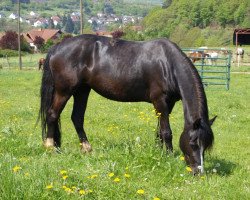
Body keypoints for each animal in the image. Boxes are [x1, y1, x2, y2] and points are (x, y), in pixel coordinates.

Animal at [39, 34, 217, 175]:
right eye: (193, 143)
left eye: (207, 146)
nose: (198, 172)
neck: (168, 64)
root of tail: (57, 47)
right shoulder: (160, 101)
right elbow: (167, 132)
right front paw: (168, 156)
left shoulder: (168, 104)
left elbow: (159, 130)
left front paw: (159, 152)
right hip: (65, 90)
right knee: (52, 114)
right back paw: (50, 147)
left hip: (82, 90)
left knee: (77, 117)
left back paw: (87, 148)